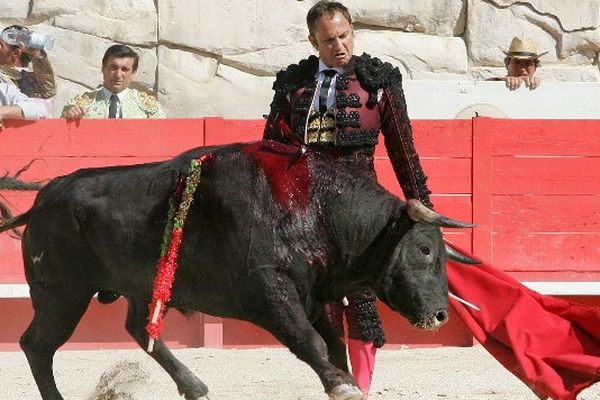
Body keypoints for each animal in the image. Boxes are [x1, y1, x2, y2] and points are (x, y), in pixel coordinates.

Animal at [1, 141, 478, 400]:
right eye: (423, 249)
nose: (440, 315)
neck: (317, 206)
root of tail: (45, 198)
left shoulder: (313, 292)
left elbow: (332, 344)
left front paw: (344, 383)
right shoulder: (269, 290)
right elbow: (308, 341)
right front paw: (340, 384)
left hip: (138, 286)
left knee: (138, 328)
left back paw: (194, 385)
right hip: (61, 292)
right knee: (37, 344)